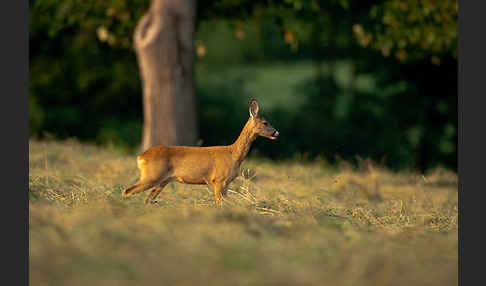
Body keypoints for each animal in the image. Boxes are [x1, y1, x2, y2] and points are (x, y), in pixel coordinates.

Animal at [121, 99, 280, 204]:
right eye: (265, 122)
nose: (276, 132)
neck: (233, 155)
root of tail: (140, 157)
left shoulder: (226, 183)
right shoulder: (218, 180)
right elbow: (219, 204)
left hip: (161, 181)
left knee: (146, 199)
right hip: (152, 176)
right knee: (127, 191)